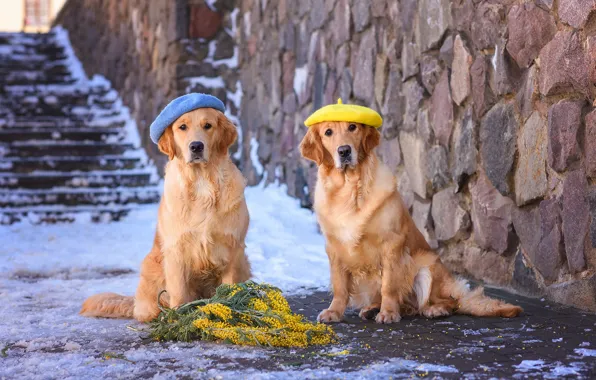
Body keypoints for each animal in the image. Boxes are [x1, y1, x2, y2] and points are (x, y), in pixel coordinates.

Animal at [81, 93, 251, 322]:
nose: (196, 146)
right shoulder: (176, 250)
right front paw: (178, 319)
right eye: (182, 127)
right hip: (151, 269)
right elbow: (179, 292)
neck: (201, 183)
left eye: (208, 125)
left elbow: (230, 288)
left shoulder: (233, 249)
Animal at [300, 98, 520, 324]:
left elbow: (389, 285)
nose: (344, 151)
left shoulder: (392, 243)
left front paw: (388, 313)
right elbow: (340, 287)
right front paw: (334, 311)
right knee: (409, 306)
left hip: (426, 267)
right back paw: (372, 308)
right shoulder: (334, 248)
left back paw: (434, 309)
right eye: (328, 132)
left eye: (352, 127)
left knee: (445, 301)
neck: (350, 189)